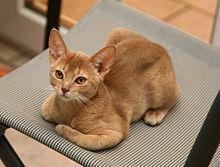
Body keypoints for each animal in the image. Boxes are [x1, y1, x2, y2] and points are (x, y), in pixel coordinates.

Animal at [41, 27, 180, 150]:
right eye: (59, 74)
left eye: (80, 80)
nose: (64, 89)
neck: (69, 109)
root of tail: (160, 47)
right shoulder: (46, 108)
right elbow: (46, 111)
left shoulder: (114, 133)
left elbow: (85, 139)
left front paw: (63, 128)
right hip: (117, 32)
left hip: (159, 91)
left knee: (176, 93)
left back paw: (154, 114)